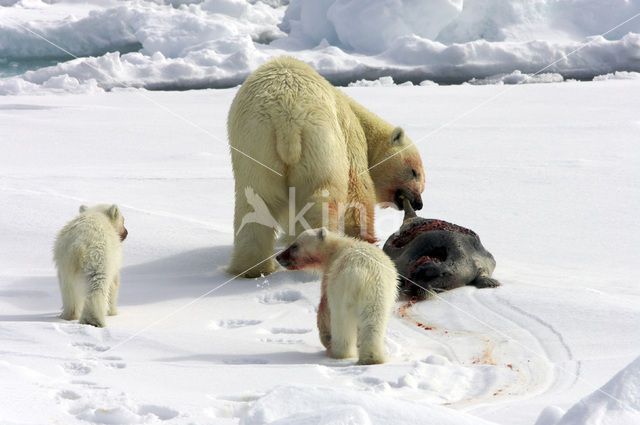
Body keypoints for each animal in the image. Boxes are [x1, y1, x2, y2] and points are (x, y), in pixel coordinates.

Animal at [226, 56, 424, 276]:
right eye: (414, 172)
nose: (419, 203)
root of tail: (285, 119)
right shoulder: (349, 135)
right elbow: (358, 191)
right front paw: (365, 239)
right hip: (319, 143)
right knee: (322, 196)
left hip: (257, 146)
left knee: (255, 202)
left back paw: (251, 269)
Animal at [276, 227, 398, 362]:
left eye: (294, 245)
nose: (278, 257)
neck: (336, 248)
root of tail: (361, 275)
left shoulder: (329, 276)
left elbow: (323, 308)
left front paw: (326, 339)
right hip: (379, 294)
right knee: (374, 321)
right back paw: (372, 358)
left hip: (341, 291)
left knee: (341, 321)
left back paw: (337, 352)